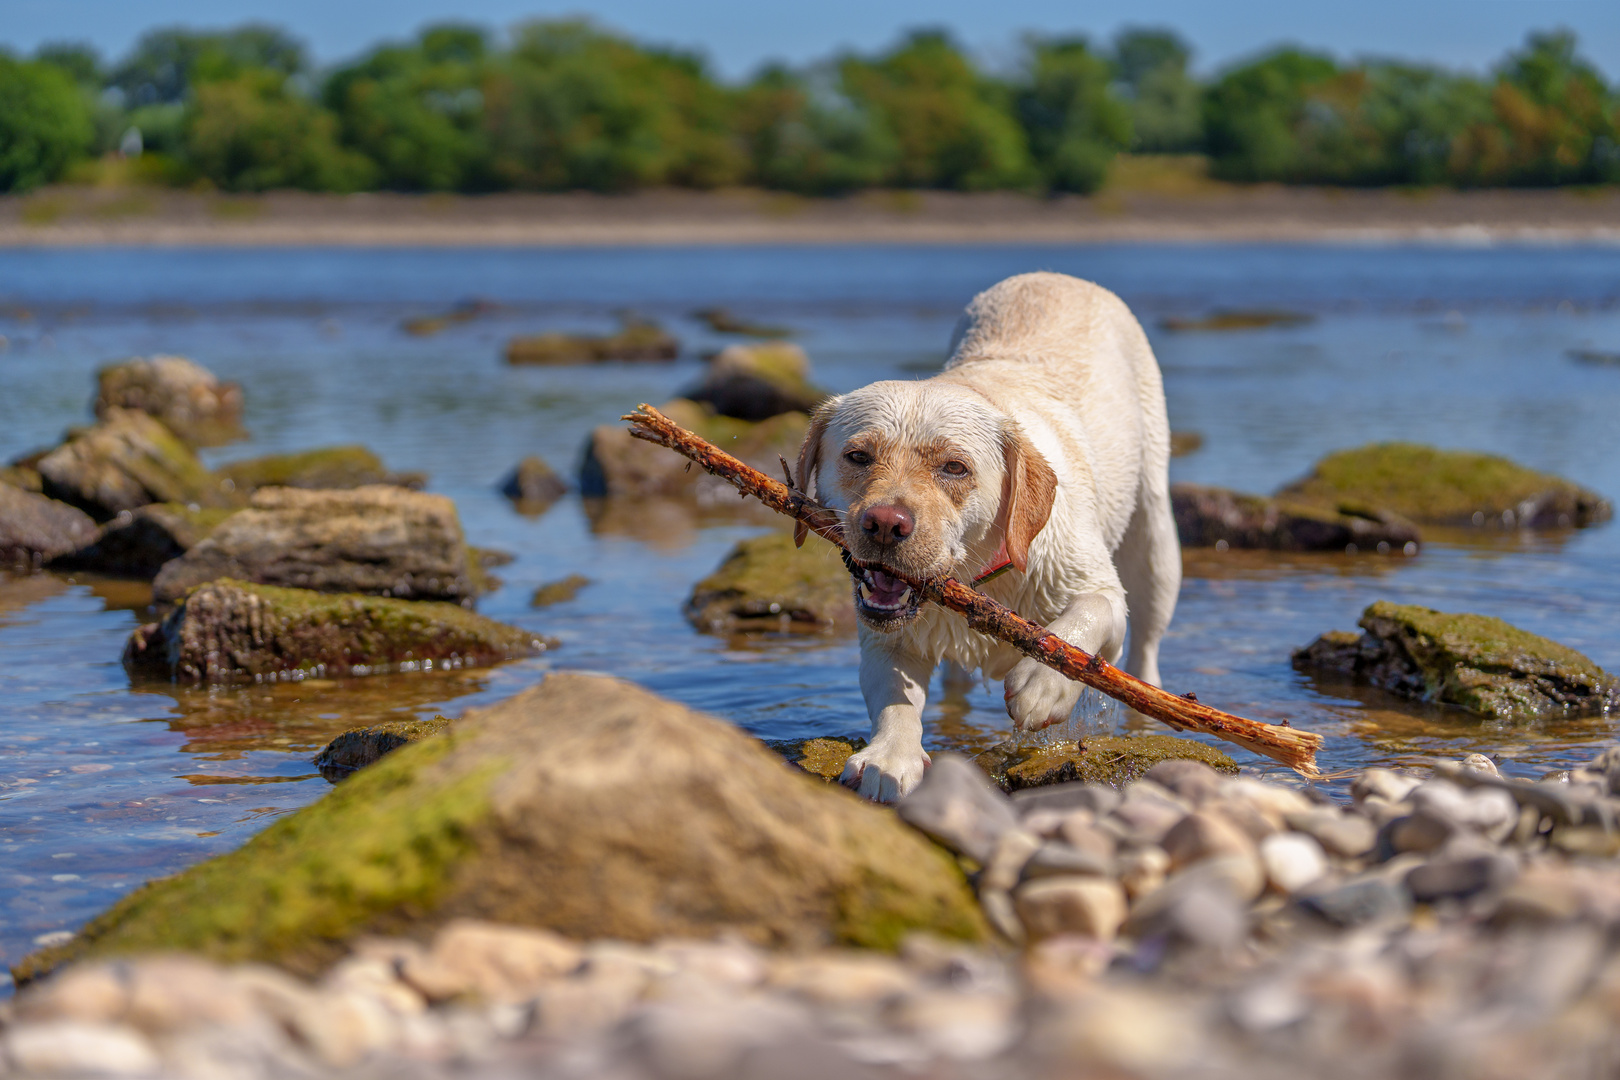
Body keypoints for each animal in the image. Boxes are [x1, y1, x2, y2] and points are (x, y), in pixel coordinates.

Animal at [793, 275, 1185, 803]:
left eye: (955, 468)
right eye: (857, 456)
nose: (885, 524)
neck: (981, 578)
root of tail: (1054, 274)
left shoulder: (1100, 589)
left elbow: (1093, 610)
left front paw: (1044, 682)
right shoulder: (887, 635)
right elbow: (894, 697)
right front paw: (889, 757)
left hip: (1155, 539)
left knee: (1147, 643)